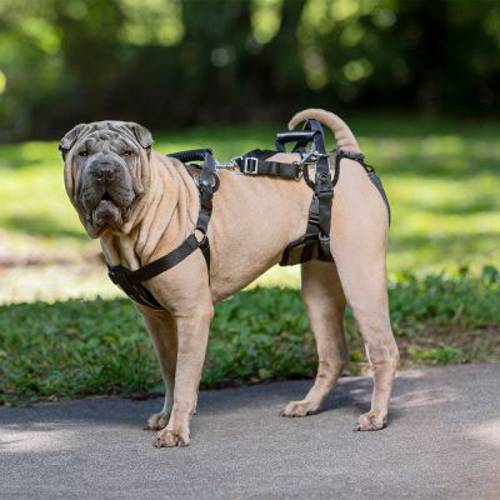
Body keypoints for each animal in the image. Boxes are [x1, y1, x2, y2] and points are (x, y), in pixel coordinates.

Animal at [61, 109, 399, 448]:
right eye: (83, 153)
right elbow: (170, 370)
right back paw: (308, 404)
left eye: (127, 153)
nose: (104, 171)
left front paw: (175, 429)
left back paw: (376, 415)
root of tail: (348, 157)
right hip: (319, 291)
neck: (131, 229)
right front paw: (166, 416)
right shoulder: (157, 319)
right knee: (333, 353)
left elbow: (185, 376)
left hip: (360, 277)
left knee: (383, 349)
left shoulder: (193, 314)